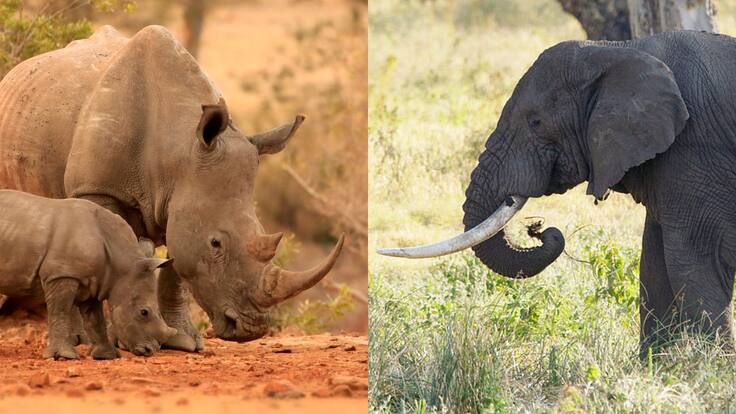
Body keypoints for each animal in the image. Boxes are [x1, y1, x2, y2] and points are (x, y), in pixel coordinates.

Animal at [0, 25, 344, 351]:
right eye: (215, 243)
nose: (250, 329)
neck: (179, 152)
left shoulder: (182, 199)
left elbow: (176, 268)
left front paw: (181, 341)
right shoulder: (98, 189)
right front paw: (124, 340)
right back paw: (76, 338)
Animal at [379, 30, 736, 355]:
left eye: (536, 122)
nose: (539, 229)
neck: (618, 49)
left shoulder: (694, 150)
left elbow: (692, 262)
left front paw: (707, 367)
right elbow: (654, 263)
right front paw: (660, 368)